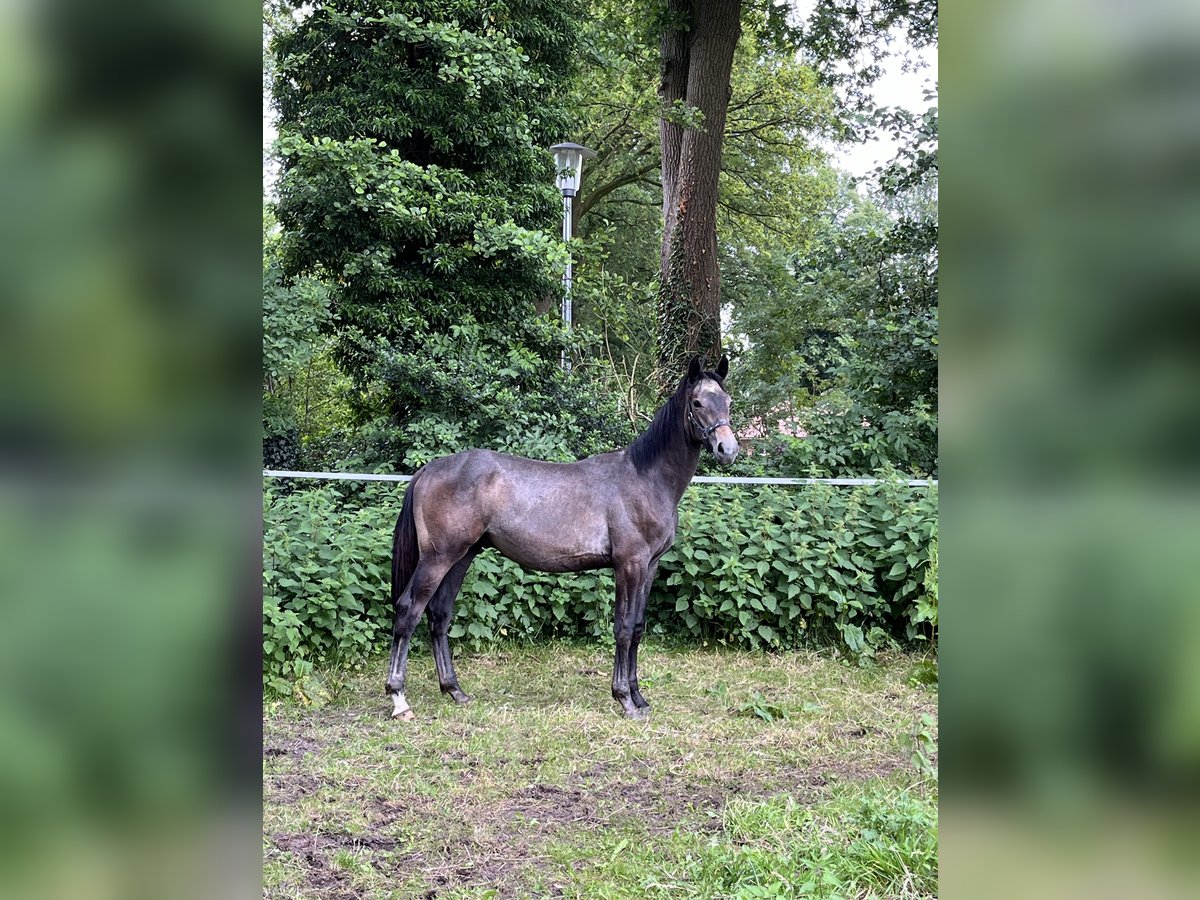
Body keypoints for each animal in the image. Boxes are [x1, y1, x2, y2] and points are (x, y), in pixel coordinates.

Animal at [388, 355, 734, 724]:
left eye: (727, 402)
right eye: (697, 403)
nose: (728, 449)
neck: (644, 478)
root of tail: (429, 469)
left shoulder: (650, 566)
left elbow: (638, 628)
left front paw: (640, 698)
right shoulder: (629, 565)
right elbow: (624, 628)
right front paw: (624, 699)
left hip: (461, 556)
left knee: (439, 616)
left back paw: (455, 691)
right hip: (437, 559)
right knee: (409, 611)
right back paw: (399, 699)